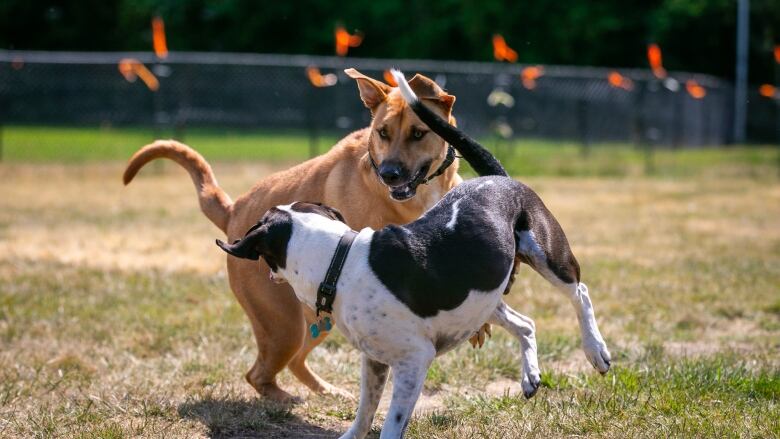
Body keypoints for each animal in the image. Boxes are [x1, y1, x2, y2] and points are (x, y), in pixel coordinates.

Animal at [122, 69, 464, 402]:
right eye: (382, 132)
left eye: (418, 133)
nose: (389, 174)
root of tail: (233, 212)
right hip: (283, 327)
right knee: (259, 373)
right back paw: (285, 398)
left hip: (315, 322)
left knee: (295, 361)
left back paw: (326, 390)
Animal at [218, 70, 608, 438]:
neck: (338, 261)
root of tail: (499, 178)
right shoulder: (375, 360)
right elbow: (364, 412)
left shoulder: (413, 361)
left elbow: (392, 424)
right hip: (482, 299)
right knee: (526, 324)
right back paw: (530, 376)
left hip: (547, 254)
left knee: (580, 292)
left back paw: (597, 351)